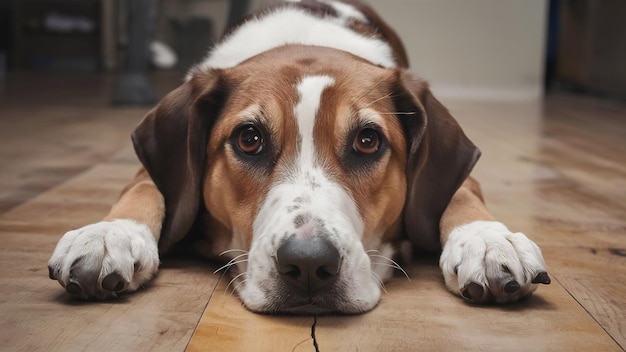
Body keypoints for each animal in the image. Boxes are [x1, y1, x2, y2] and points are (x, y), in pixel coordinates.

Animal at [47, 0, 544, 314]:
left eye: (368, 141)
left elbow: (461, 194)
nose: (308, 265)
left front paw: (488, 241)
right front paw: (109, 234)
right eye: (249, 139)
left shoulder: (458, 176)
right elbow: (145, 184)